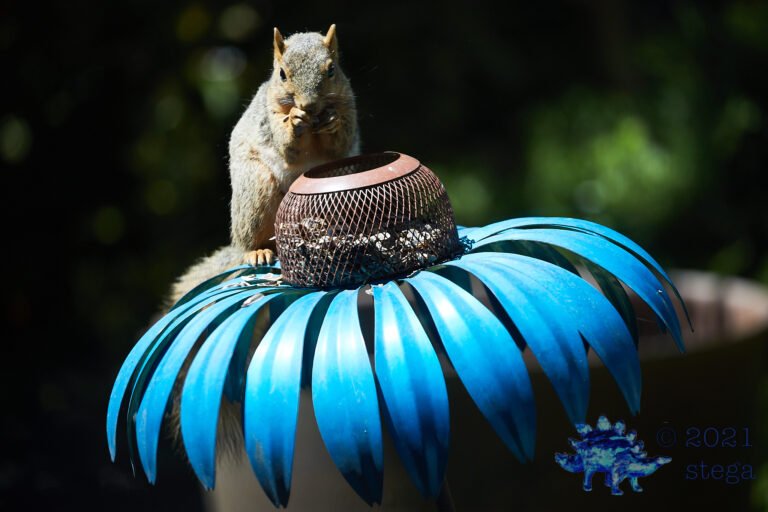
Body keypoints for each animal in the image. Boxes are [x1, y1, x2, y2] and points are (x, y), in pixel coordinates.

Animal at [168, 24, 359, 307]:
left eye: (331, 69)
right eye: (282, 74)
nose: (308, 105)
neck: (313, 122)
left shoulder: (348, 105)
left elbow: (340, 141)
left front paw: (332, 121)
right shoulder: (270, 118)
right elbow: (287, 147)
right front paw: (294, 121)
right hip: (256, 189)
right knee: (253, 240)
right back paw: (257, 252)